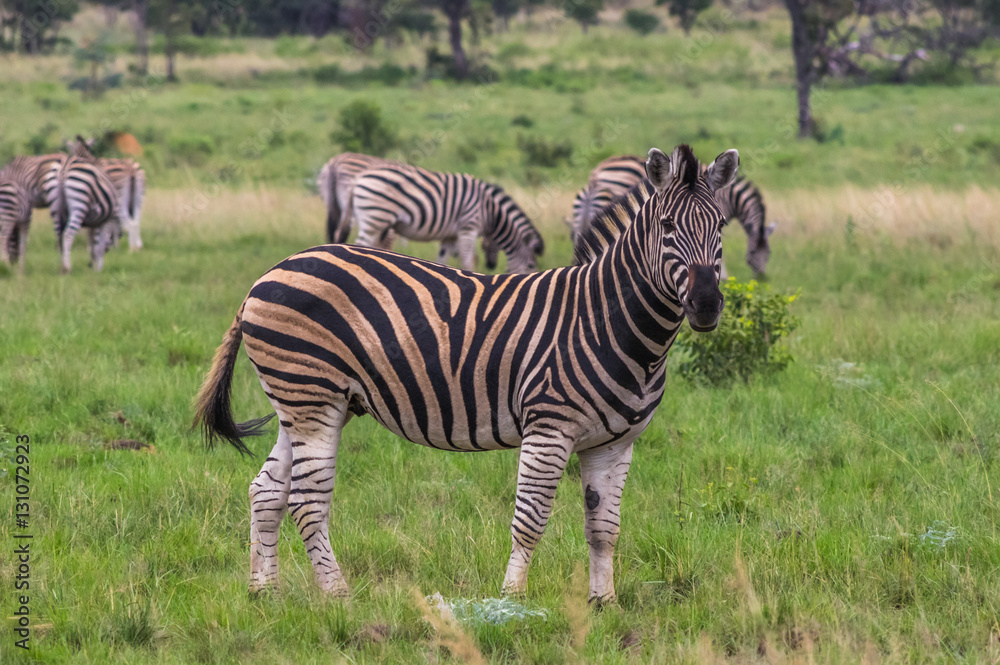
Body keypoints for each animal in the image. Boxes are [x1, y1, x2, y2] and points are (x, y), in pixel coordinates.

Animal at [41, 140, 120, 273]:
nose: (109, 249)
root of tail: (64, 169)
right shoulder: (105, 220)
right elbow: (99, 242)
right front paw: (98, 267)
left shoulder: (94, 223)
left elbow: (92, 241)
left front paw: (93, 263)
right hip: (79, 204)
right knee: (68, 233)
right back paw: (67, 267)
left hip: (56, 207)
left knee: (59, 235)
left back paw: (62, 266)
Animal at [351, 163, 544, 273]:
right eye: (530, 266)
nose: (491, 266)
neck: (491, 211)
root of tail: (360, 178)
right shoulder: (469, 227)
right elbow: (467, 260)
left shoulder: (450, 236)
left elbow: (442, 259)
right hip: (374, 217)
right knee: (360, 244)